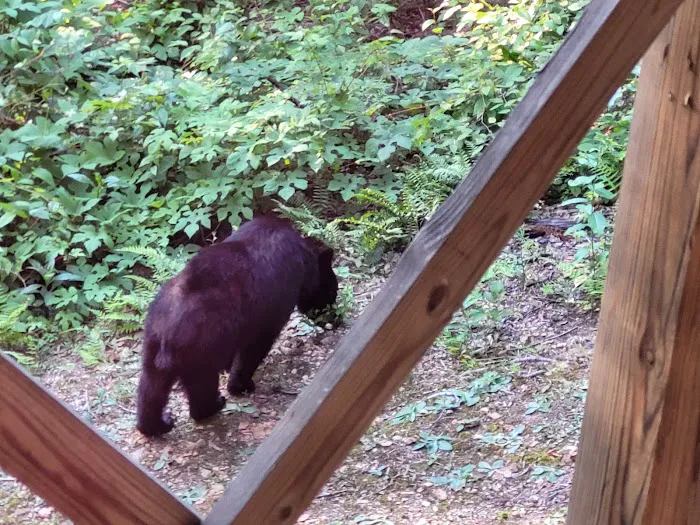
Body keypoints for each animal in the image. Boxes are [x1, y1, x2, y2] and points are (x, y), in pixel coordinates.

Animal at [135, 215, 338, 437]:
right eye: (333, 290)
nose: (335, 318)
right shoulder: (266, 317)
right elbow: (252, 352)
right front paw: (241, 385)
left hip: (152, 344)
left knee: (150, 387)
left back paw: (157, 424)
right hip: (203, 346)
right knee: (201, 386)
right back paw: (213, 405)